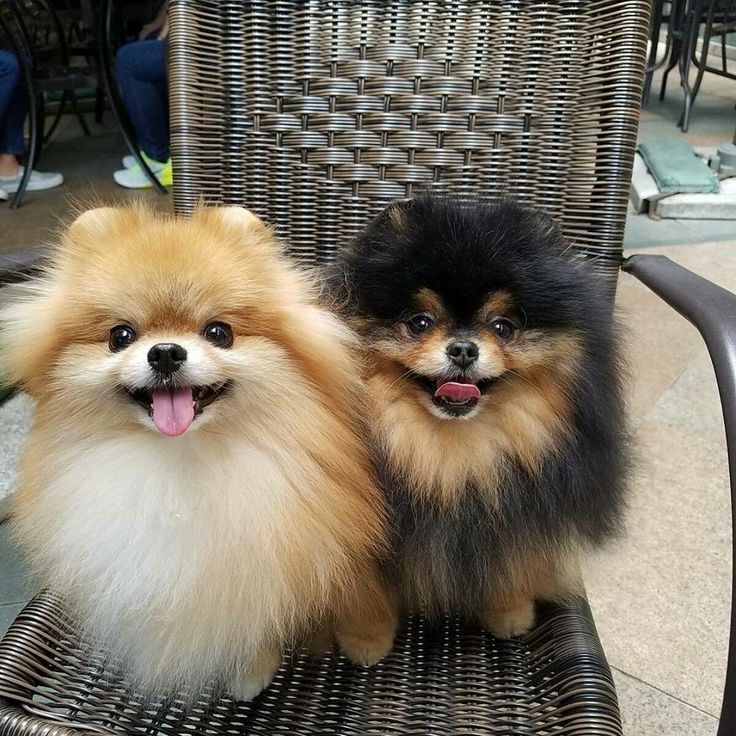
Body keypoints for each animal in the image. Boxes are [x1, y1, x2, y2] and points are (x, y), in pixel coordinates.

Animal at [0, 206, 396, 700]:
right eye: (120, 335)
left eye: (219, 332)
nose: (166, 352)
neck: (182, 459)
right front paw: (251, 668)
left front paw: (363, 641)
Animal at [334, 197, 628, 640]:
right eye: (419, 322)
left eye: (503, 327)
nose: (463, 349)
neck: (451, 458)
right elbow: (366, 591)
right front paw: (367, 639)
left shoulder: (515, 516)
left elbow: (510, 563)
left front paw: (510, 613)